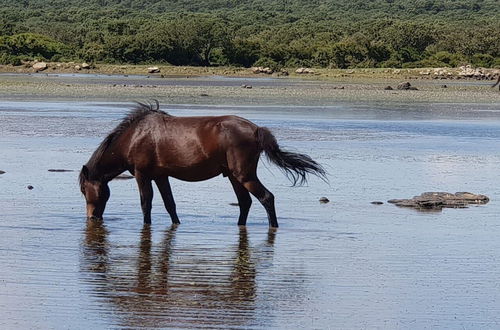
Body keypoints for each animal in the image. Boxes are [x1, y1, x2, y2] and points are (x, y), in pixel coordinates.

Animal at [79, 102, 326, 228]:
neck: (134, 136)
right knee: (245, 203)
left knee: (266, 198)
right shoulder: (161, 176)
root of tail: (256, 129)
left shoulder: (142, 175)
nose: (92, 218)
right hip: (234, 176)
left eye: (83, 190)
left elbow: (145, 203)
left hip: (244, 175)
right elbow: (170, 204)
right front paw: (176, 225)